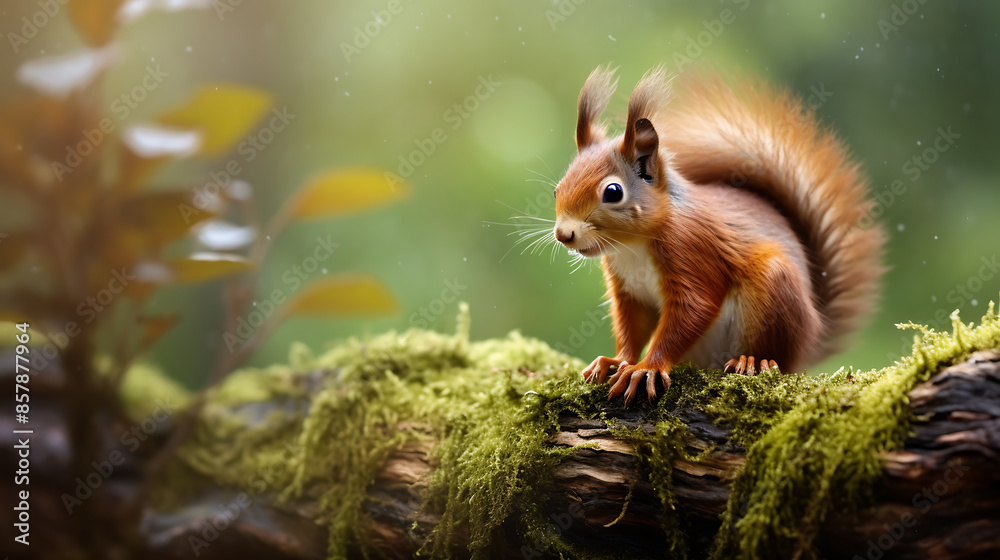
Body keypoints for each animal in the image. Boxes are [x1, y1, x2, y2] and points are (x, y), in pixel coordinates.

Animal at [552, 68, 888, 404]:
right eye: (557, 189)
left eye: (613, 192)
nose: (563, 234)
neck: (632, 247)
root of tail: (810, 338)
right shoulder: (629, 291)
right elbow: (632, 327)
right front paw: (616, 361)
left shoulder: (692, 250)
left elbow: (694, 309)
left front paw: (647, 368)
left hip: (773, 288)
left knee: (775, 356)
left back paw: (753, 361)